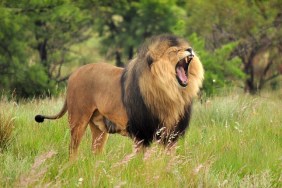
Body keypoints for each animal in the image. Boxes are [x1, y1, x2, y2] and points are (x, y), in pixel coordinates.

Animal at [34, 34, 203, 159]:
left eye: (185, 47)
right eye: (174, 51)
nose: (190, 49)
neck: (171, 93)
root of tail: (74, 74)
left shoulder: (171, 135)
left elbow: (169, 159)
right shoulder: (141, 133)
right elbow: (142, 160)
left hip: (99, 129)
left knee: (95, 152)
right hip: (78, 120)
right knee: (72, 149)